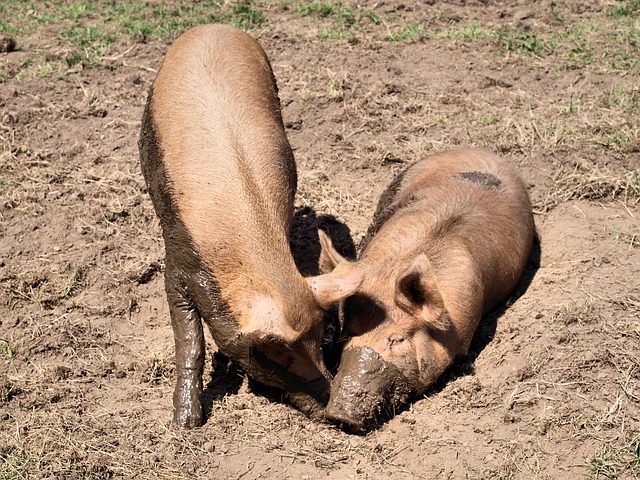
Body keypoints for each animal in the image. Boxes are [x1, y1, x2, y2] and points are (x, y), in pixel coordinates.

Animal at [138, 23, 362, 428]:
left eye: (319, 340)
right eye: (273, 354)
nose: (333, 411)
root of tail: (213, 28)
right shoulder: (177, 258)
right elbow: (189, 337)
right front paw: (185, 424)